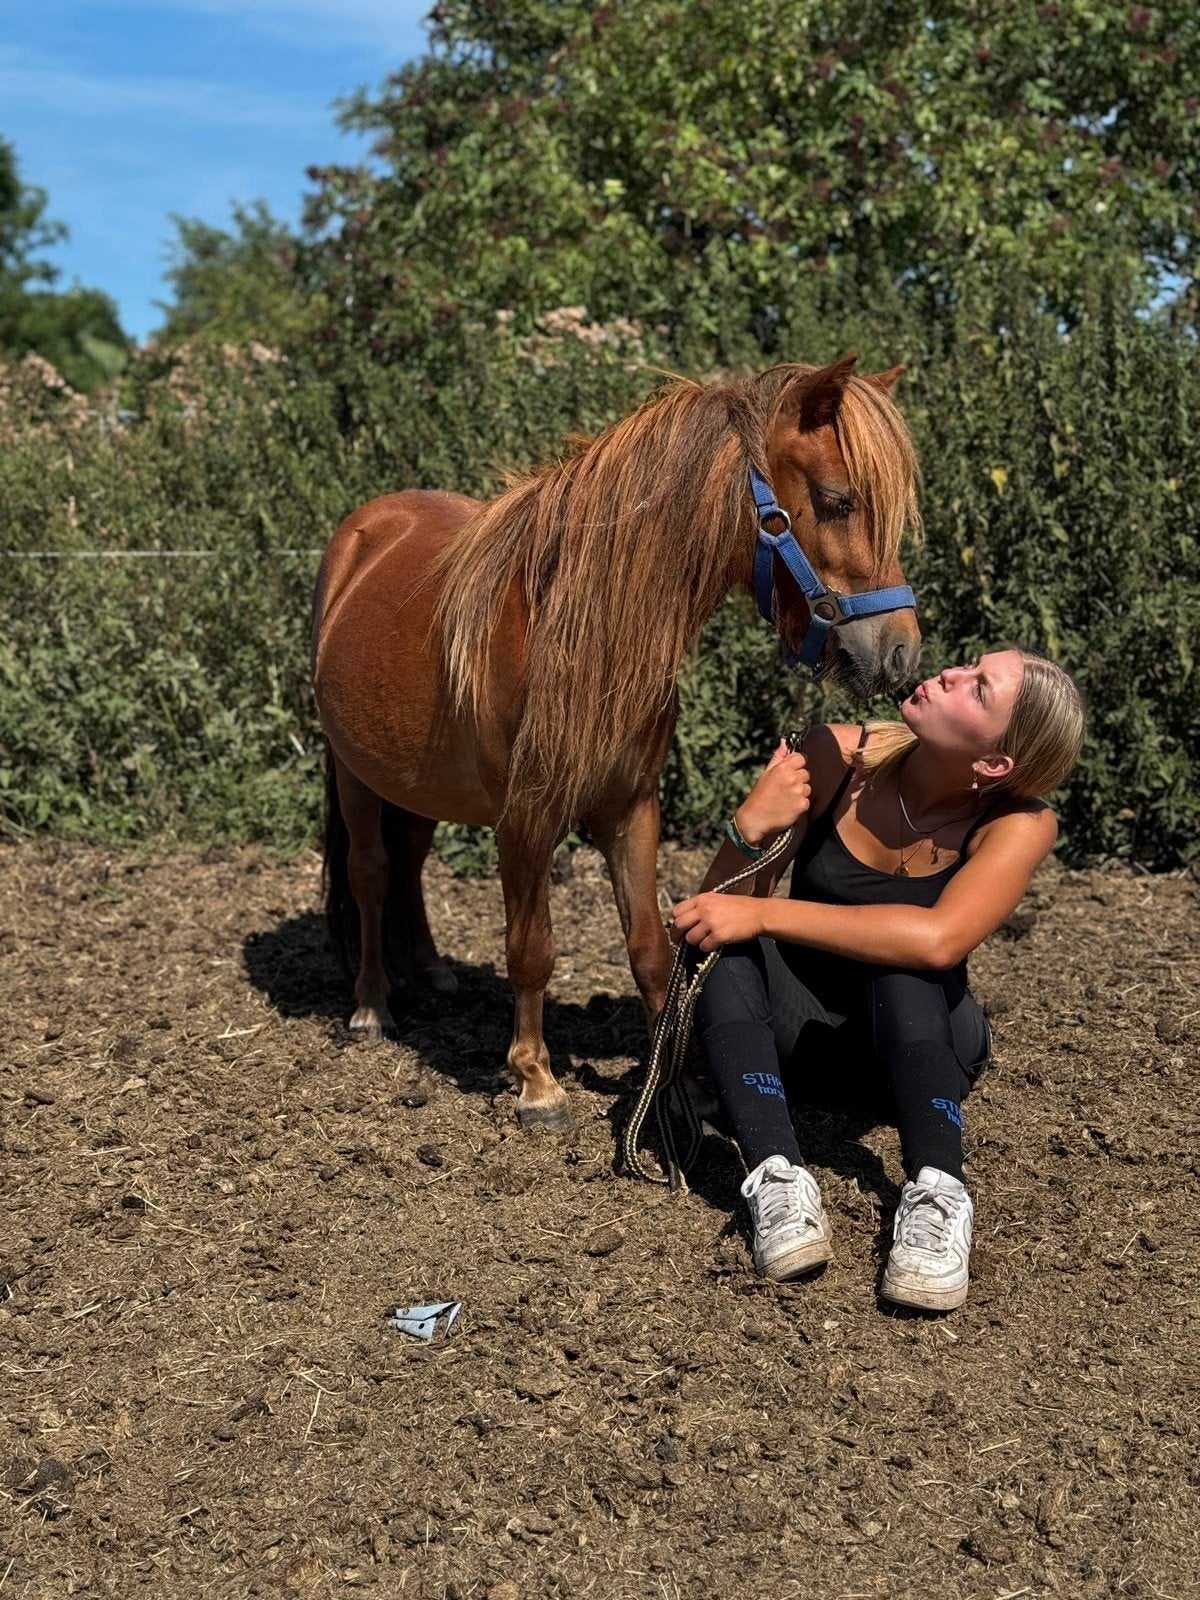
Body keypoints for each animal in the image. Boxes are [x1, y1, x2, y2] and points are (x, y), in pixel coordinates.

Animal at [311, 353, 923, 1132]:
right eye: (838, 501)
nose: (901, 654)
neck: (568, 629)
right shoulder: (526, 819)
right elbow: (532, 950)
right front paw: (537, 1082)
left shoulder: (631, 809)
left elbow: (651, 948)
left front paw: (681, 1088)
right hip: (354, 774)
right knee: (369, 872)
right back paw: (370, 1005)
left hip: (417, 784)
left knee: (411, 863)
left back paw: (433, 970)